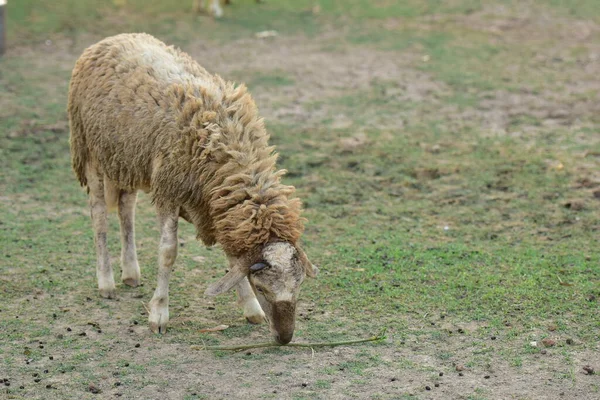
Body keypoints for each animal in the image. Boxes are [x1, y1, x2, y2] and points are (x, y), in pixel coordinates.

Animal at [67, 32, 316, 344]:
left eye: (299, 286)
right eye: (262, 287)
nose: (285, 338)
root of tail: (114, 37)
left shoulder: (213, 203)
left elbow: (232, 258)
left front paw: (250, 309)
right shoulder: (169, 189)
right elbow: (168, 252)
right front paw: (159, 314)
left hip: (126, 158)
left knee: (126, 208)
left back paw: (131, 273)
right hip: (90, 151)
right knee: (99, 215)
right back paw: (106, 282)